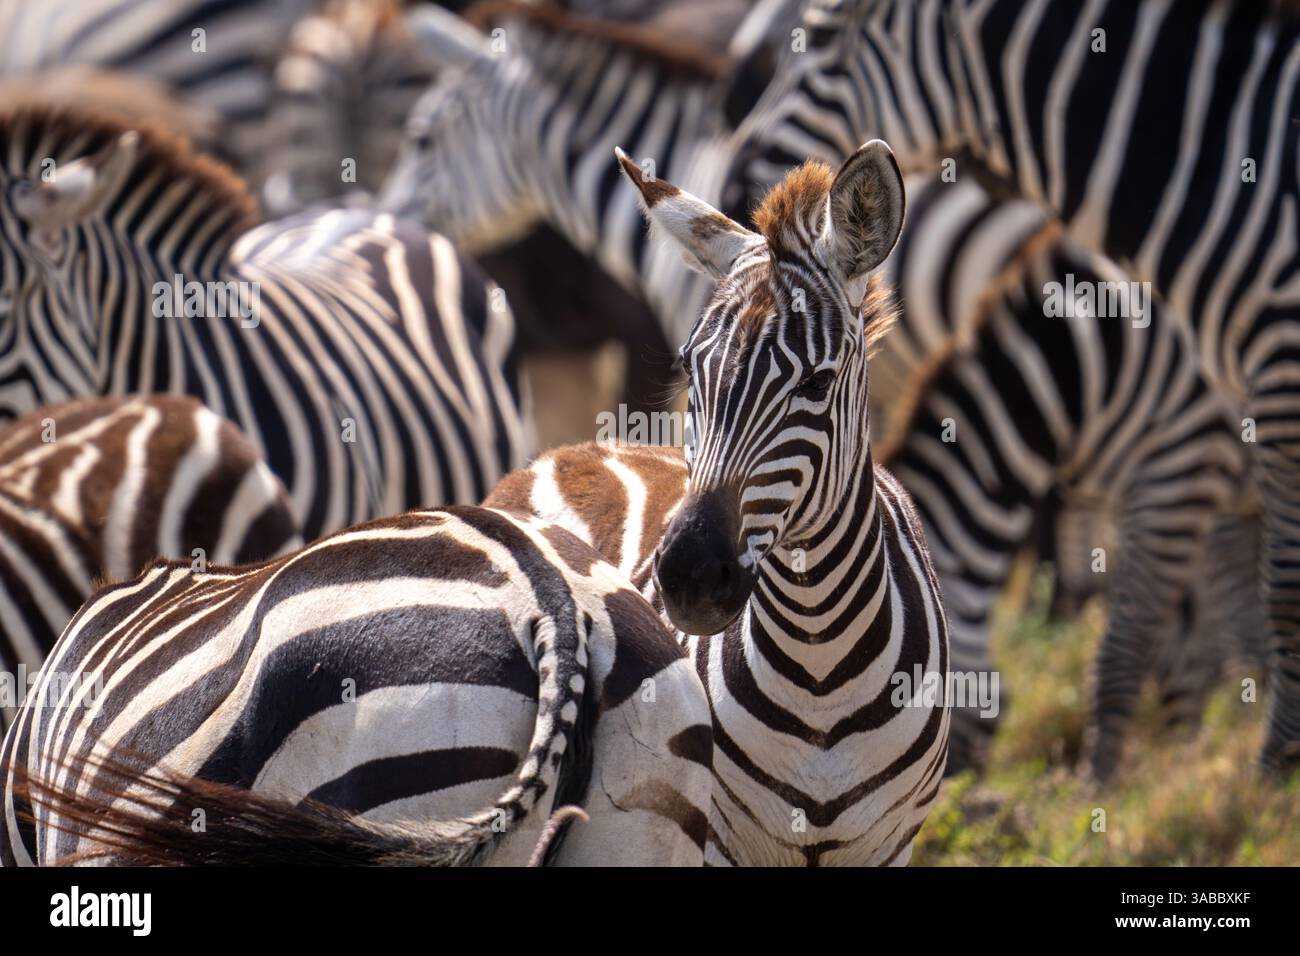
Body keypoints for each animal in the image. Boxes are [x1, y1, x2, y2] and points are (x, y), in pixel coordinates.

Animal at [493, 141, 949, 866]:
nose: (689, 577)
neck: (821, 668)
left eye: (817, 383)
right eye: (690, 368)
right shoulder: (718, 837)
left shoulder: (889, 843)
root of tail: (565, 450)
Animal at [723, 0, 1300, 774]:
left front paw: (1109, 784)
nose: (736, 190)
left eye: (814, 39)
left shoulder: (1181, 467)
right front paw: (1193, 749)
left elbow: (1136, 635)